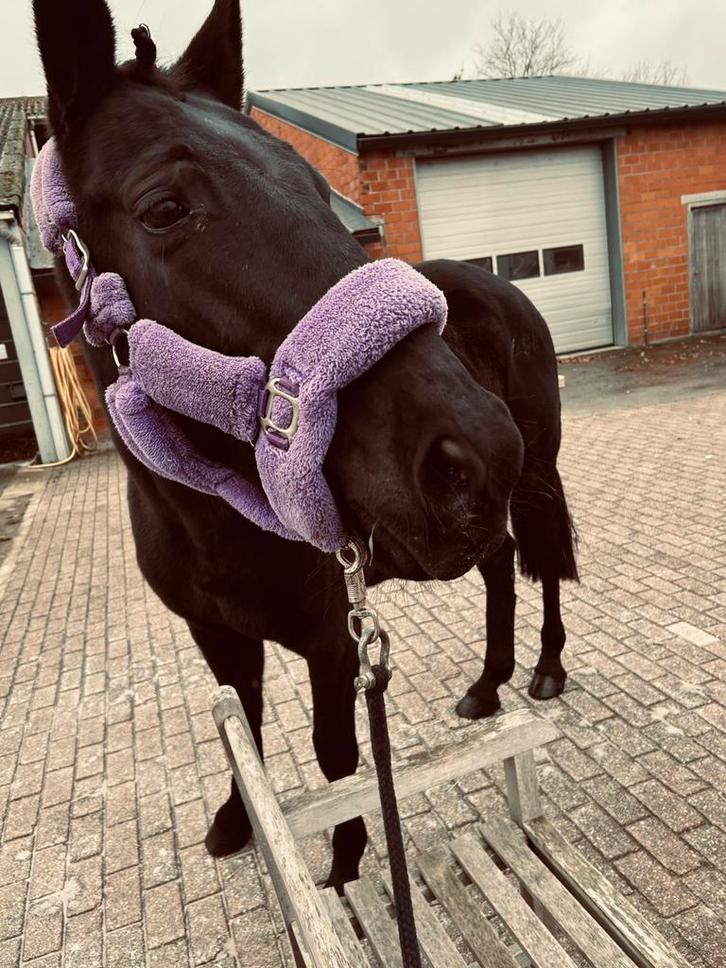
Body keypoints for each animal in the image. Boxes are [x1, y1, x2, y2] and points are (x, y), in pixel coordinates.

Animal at [33, 0, 578, 891]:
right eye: (163, 208)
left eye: (319, 190)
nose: (475, 445)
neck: (211, 520)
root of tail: (504, 285)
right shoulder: (217, 637)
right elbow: (245, 731)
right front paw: (237, 820)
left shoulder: (331, 644)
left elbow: (336, 759)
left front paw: (345, 864)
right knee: (501, 565)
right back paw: (486, 685)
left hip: (535, 481)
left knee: (543, 566)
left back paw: (544, 670)